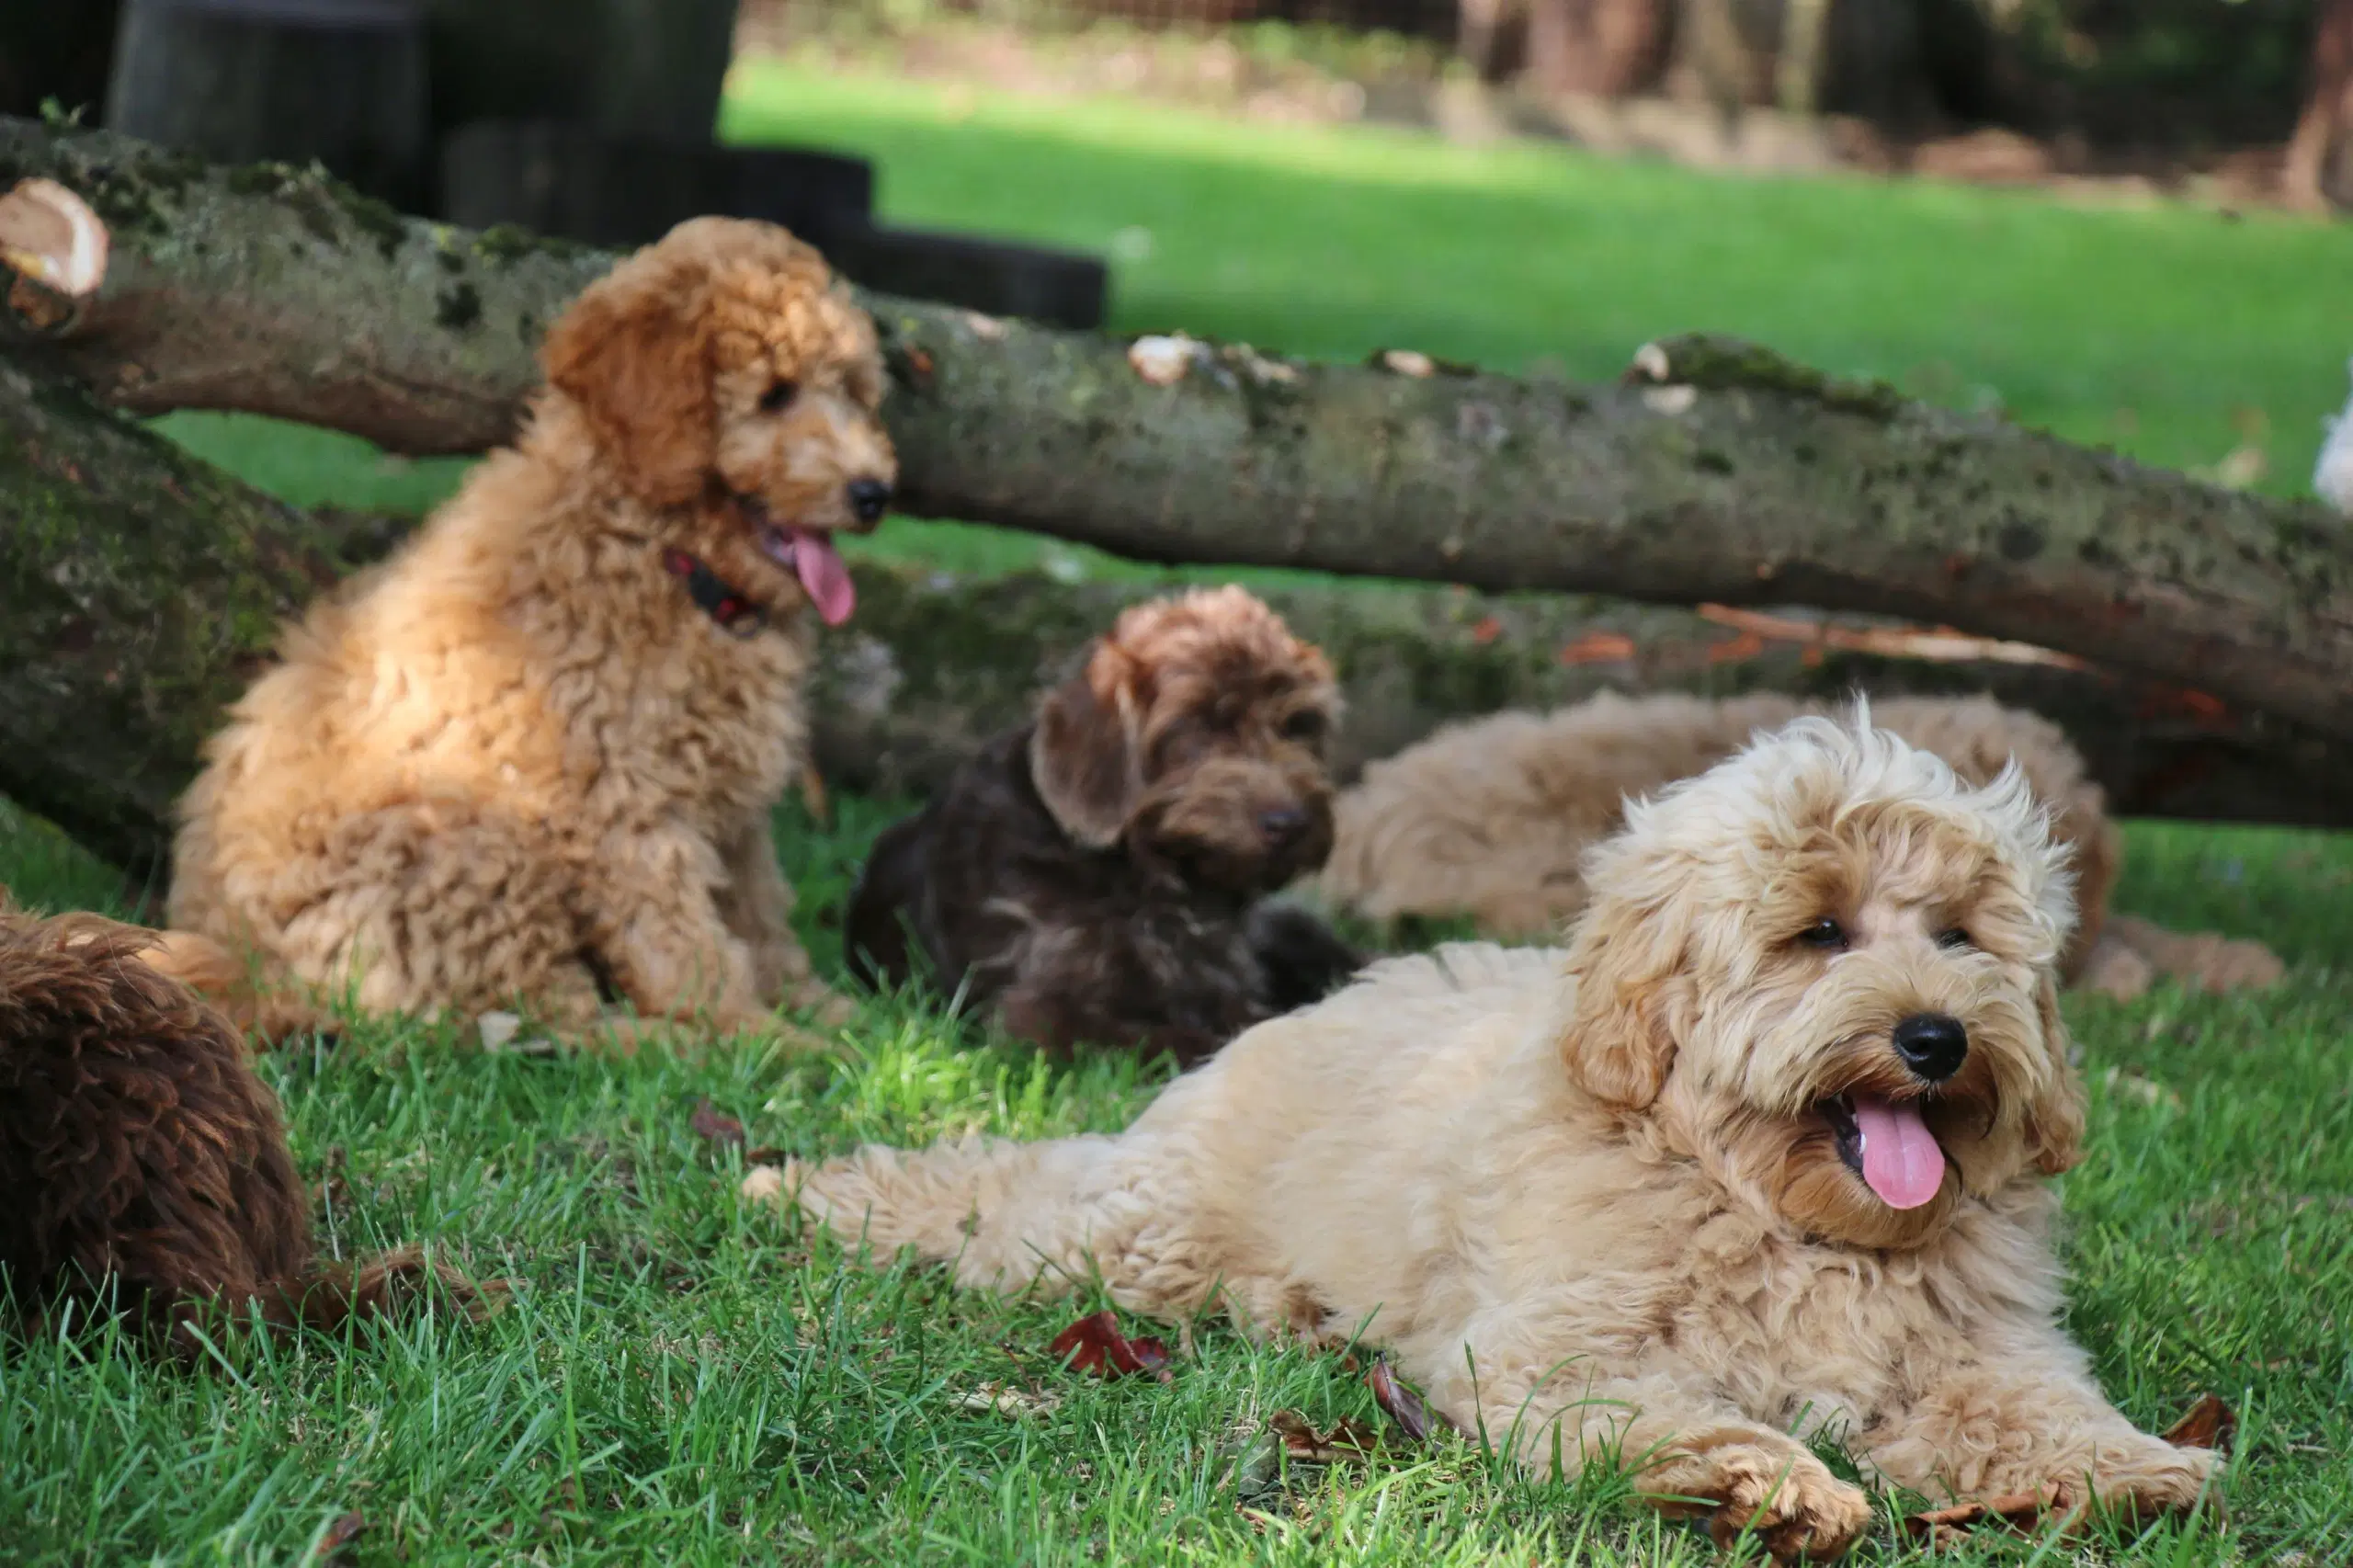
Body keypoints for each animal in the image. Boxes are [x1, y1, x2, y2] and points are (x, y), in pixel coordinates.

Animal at [168, 210, 889, 1036]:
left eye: (853, 391)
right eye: (775, 396)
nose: (874, 492)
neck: (659, 549)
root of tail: (250, 976)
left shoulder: (733, 806)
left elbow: (760, 914)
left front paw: (835, 1014)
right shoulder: (618, 796)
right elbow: (681, 939)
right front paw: (760, 1036)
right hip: (471, 841)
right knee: (548, 1021)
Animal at [776, 710, 2221, 1553]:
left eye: (1962, 936)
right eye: (1818, 931)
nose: (1936, 1038)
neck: (1782, 1218)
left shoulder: (1982, 1343)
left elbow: (2037, 1401)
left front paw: (2131, 1465)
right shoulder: (1553, 1353)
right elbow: (1665, 1409)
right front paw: (1760, 1478)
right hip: (1145, 1238)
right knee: (1012, 1201)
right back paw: (813, 1186)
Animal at [847, 585, 1364, 1063]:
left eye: (1299, 724)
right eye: (1197, 723)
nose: (1291, 823)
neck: (1149, 877)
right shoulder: (1041, 1013)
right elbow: (1189, 1038)